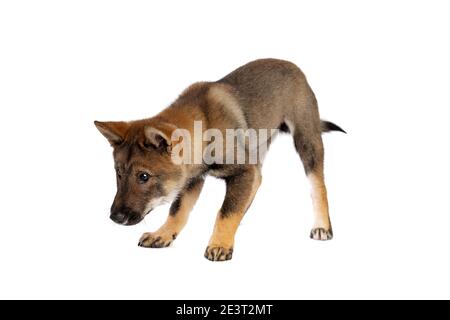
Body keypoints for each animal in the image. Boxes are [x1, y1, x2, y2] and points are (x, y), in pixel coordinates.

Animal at [95, 58, 346, 262]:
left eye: (144, 176)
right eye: (118, 173)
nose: (115, 217)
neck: (203, 125)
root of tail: (293, 65)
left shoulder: (242, 170)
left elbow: (226, 210)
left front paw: (220, 243)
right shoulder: (192, 179)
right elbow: (178, 210)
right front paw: (163, 233)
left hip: (306, 140)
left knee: (317, 185)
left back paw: (322, 225)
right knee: (258, 180)